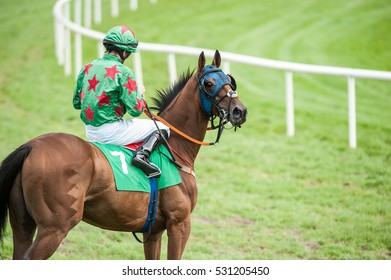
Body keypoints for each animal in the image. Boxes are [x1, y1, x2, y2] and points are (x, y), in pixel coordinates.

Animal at [0, 50, 247, 260]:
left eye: (229, 80)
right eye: (209, 83)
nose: (239, 111)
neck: (175, 149)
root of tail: (32, 146)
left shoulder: (153, 231)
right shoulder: (180, 223)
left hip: (23, 223)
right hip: (55, 228)